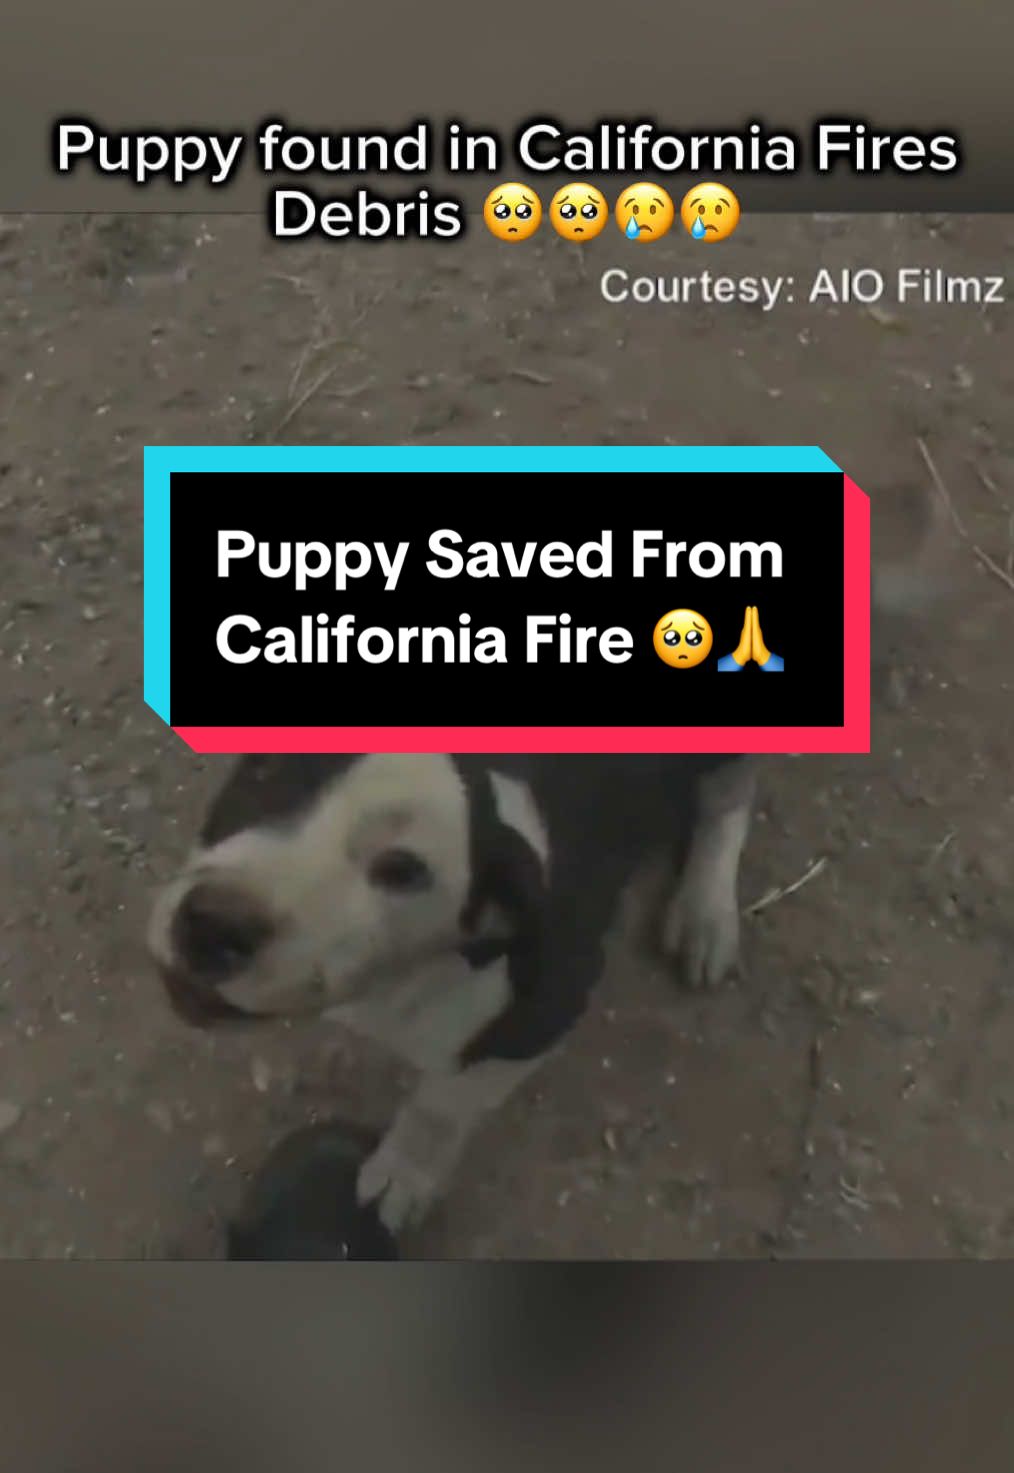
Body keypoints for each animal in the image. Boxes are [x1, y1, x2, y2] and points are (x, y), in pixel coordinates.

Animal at [146, 748, 754, 1231]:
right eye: (261, 769)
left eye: (402, 869)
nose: (211, 925)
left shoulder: (542, 1012)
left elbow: (441, 1105)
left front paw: (402, 1174)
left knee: (730, 794)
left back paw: (705, 913)